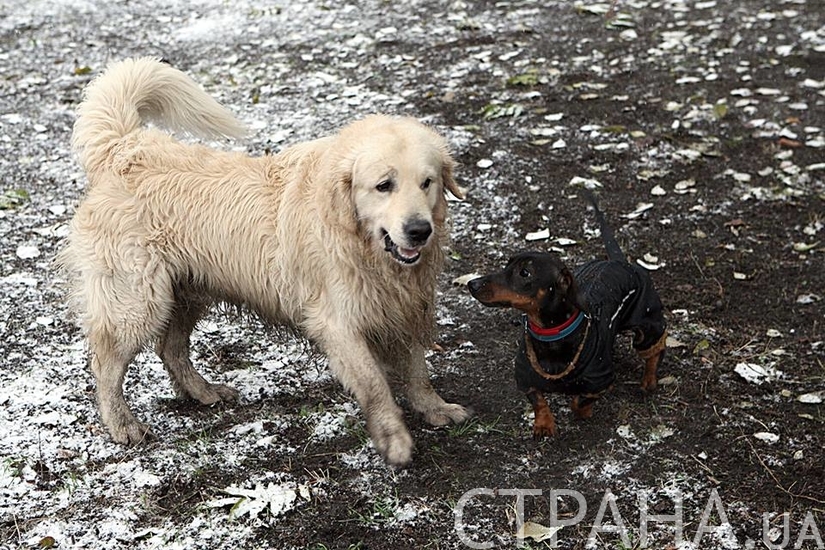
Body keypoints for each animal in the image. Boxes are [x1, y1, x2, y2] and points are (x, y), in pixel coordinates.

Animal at [58, 58, 466, 466]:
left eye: (427, 182)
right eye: (384, 185)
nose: (419, 231)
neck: (359, 240)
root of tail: (124, 148)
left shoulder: (406, 304)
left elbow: (417, 367)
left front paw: (433, 407)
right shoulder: (337, 321)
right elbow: (374, 382)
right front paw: (393, 437)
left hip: (187, 290)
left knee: (170, 349)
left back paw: (203, 391)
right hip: (138, 302)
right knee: (106, 364)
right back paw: (122, 424)